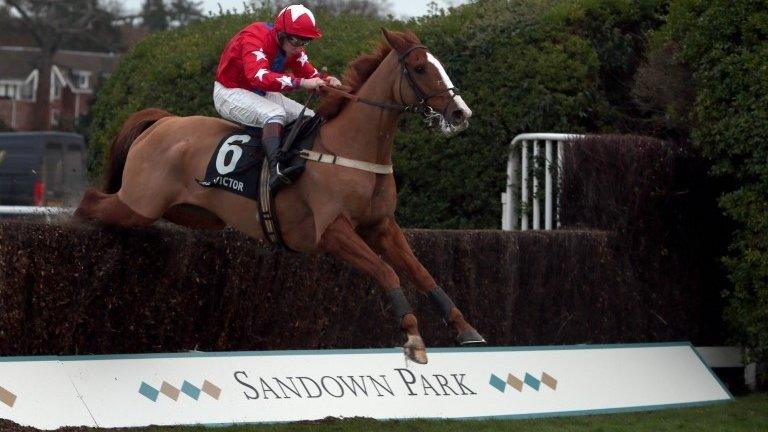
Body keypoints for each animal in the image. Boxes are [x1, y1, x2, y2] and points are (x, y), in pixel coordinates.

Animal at [78, 27, 486, 364]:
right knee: (91, 202)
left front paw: (466, 328)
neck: (350, 149)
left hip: (190, 213)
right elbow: (386, 271)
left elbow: (421, 272)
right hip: (138, 204)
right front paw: (413, 337)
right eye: (419, 68)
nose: (460, 112)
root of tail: (163, 121)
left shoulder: (381, 226)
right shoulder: (332, 232)